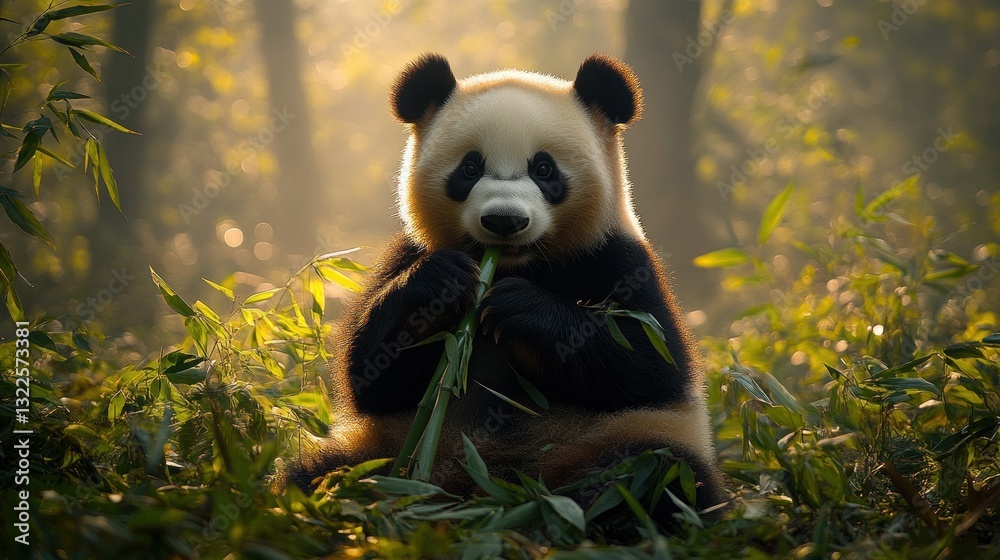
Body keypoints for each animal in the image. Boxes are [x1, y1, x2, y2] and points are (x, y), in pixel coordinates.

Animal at [288, 53, 724, 522]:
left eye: (544, 169)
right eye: (470, 168)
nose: (504, 221)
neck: (518, 265)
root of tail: (489, 485)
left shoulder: (618, 261)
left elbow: (649, 365)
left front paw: (521, 310)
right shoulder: (407, 252)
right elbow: (369, 375)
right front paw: (439, 285)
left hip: (601, 442)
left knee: (654, 475)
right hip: (386, 447)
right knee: (325, 476)